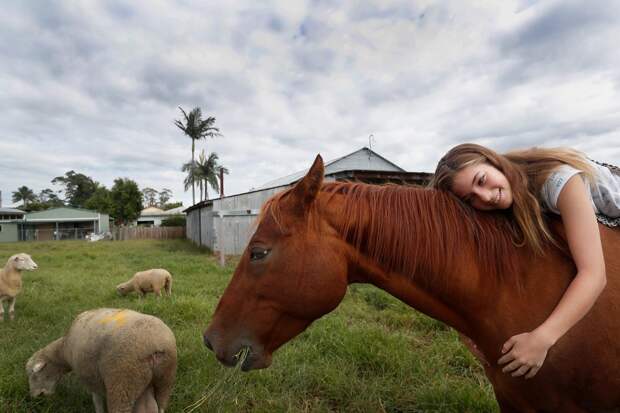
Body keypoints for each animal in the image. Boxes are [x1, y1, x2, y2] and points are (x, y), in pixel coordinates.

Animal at [26, 308, 177, 412]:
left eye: (34, 375)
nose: (35, 397)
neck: (63, 350)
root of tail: (156, 344)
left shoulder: (90, 377)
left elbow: (97, 401)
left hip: (122, 381)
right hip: (164, 382)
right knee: (160, 406)